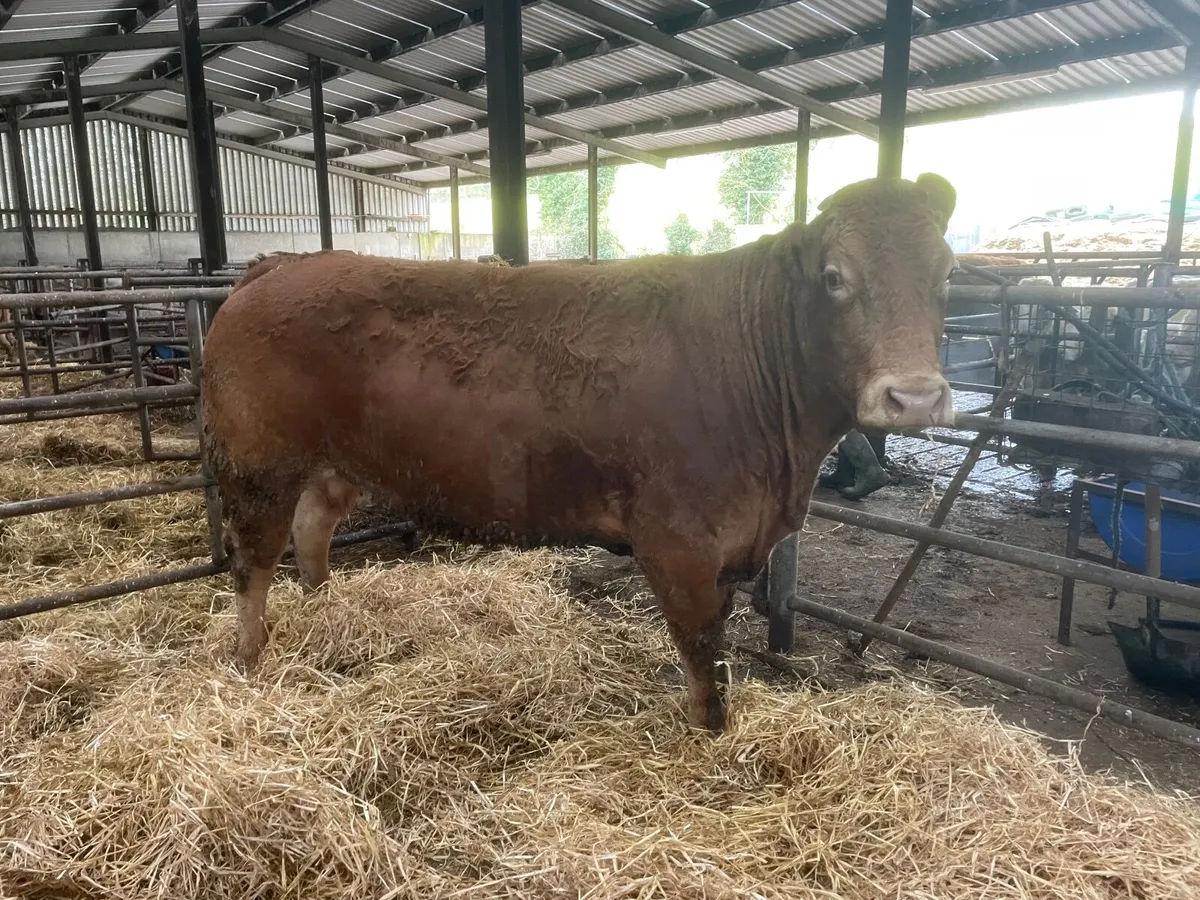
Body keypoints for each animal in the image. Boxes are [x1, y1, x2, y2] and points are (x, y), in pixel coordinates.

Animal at [201, 172, 959, 733]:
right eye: (834, 276)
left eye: (948, 272)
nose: (914, 397)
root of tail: (282, 266)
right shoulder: (677, 539)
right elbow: (700, 643)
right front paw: (711, 734)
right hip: (258, 468)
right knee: (252, 565)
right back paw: (248, 659)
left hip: (334, 465)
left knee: (312, 530)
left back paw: (325, 607)